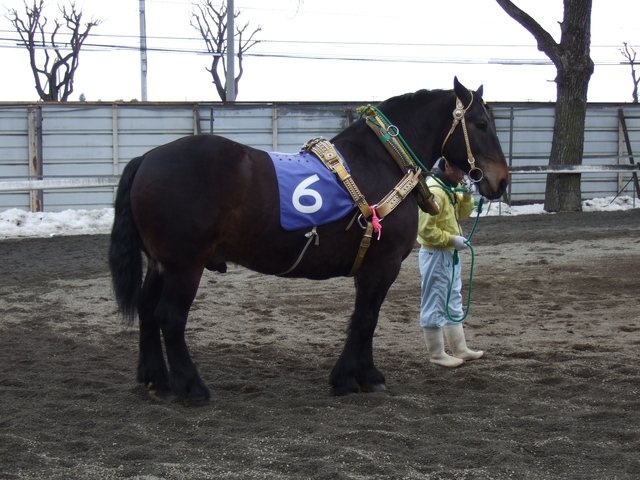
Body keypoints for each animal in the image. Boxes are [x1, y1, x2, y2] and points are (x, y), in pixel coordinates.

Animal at [109, 77, 510, 404]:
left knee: (147, 309)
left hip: (161, 263)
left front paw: (365, 375)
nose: (502, 180)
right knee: (170, 316)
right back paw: (191, 387)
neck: (382, 160)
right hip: (184, 266)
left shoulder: (372, 266)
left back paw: (156, 380)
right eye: (481, 124)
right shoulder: (383, 264)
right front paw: (350, 378)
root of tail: (146, 159)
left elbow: (366, 318)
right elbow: (366, 318)